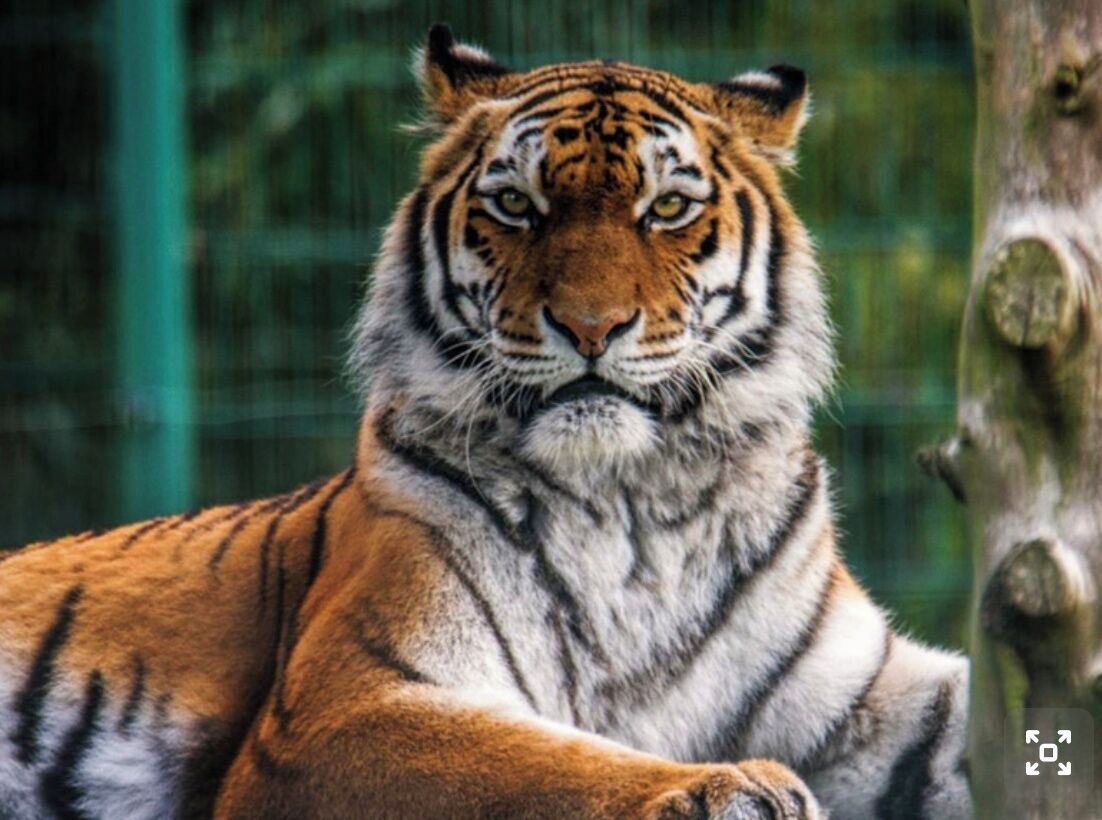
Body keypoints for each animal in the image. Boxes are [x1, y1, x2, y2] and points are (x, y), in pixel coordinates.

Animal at [0, 24, 971, 820]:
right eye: (516, 206)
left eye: (667, 208)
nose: (590, 327)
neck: (636, 506)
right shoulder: (348, 705)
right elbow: (549, 764)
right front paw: (727, 789)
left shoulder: (870, 693)